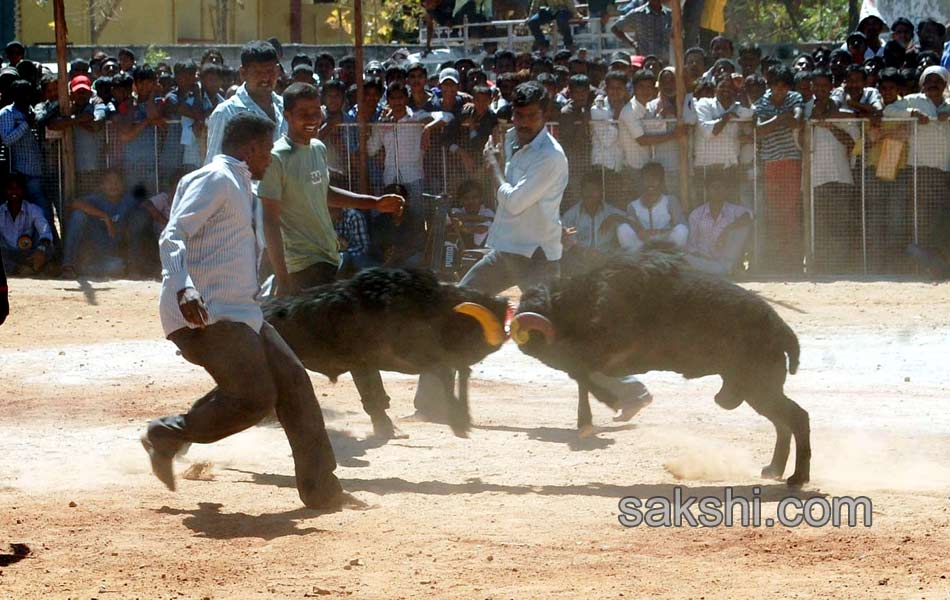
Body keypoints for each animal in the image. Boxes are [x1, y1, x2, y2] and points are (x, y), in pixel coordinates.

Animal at [510, 252, 816, 488]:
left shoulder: (607, 354)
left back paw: (797, 478)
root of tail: (782, 330)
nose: (520, 341)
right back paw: (774, 470)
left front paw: (602, 409)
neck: (582, 302)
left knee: (797, 417)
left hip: (759, 389)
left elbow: (582, 374)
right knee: (782, 423)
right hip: (756, 392)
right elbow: (581, 377)